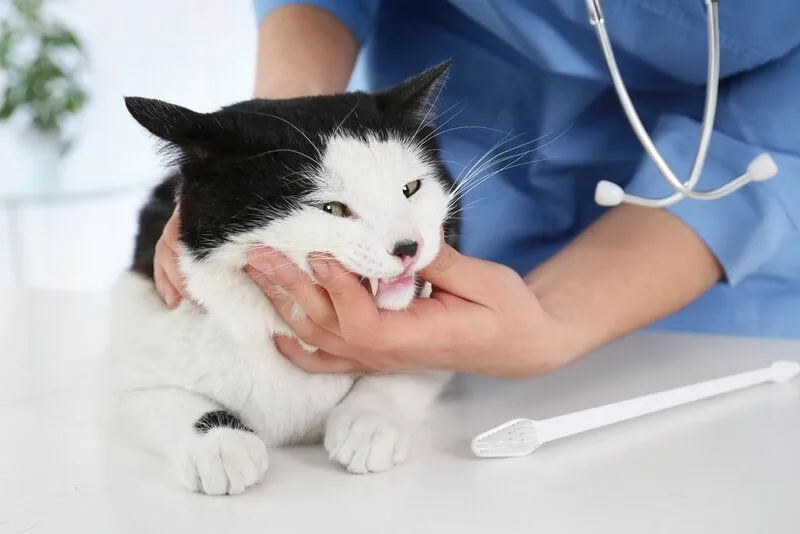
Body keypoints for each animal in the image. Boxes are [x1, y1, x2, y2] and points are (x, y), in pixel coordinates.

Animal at [101, 61, 462, 498]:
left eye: (411, 188)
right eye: (332, 208)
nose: (410, 246)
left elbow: (408, 370)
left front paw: (368, 423)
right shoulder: (136, 345)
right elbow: (166, 398)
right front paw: (220, 445)